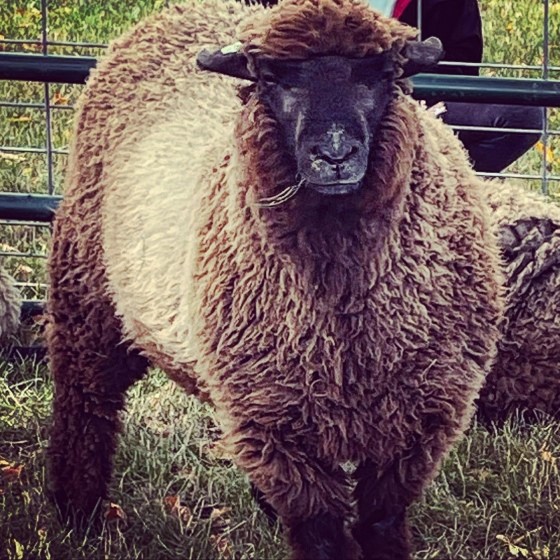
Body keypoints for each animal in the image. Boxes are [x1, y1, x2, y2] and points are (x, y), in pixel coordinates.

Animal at [47, 1, 504, 560]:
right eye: (271, 79)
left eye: (382, 74)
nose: (334, 155)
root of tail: (170, 14)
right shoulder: (280, 429)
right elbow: (322, 533)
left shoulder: (415, 423)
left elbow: (380, 522)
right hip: (86, 290)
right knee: (86, 400)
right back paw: (77, 513)